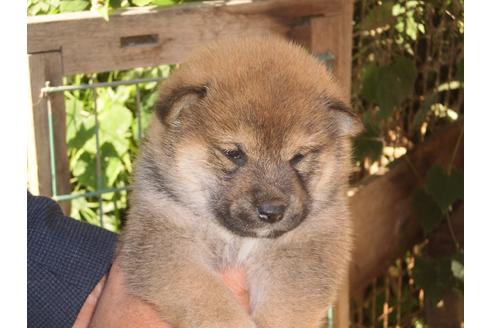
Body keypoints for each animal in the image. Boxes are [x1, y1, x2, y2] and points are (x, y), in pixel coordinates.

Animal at [118, 36, 362, 328]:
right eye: (233, 153)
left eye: (298, 157)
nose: (272, 211)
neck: (238, 241)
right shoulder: (168, 244)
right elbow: (210, 300)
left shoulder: (306, 249)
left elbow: (285, 308)